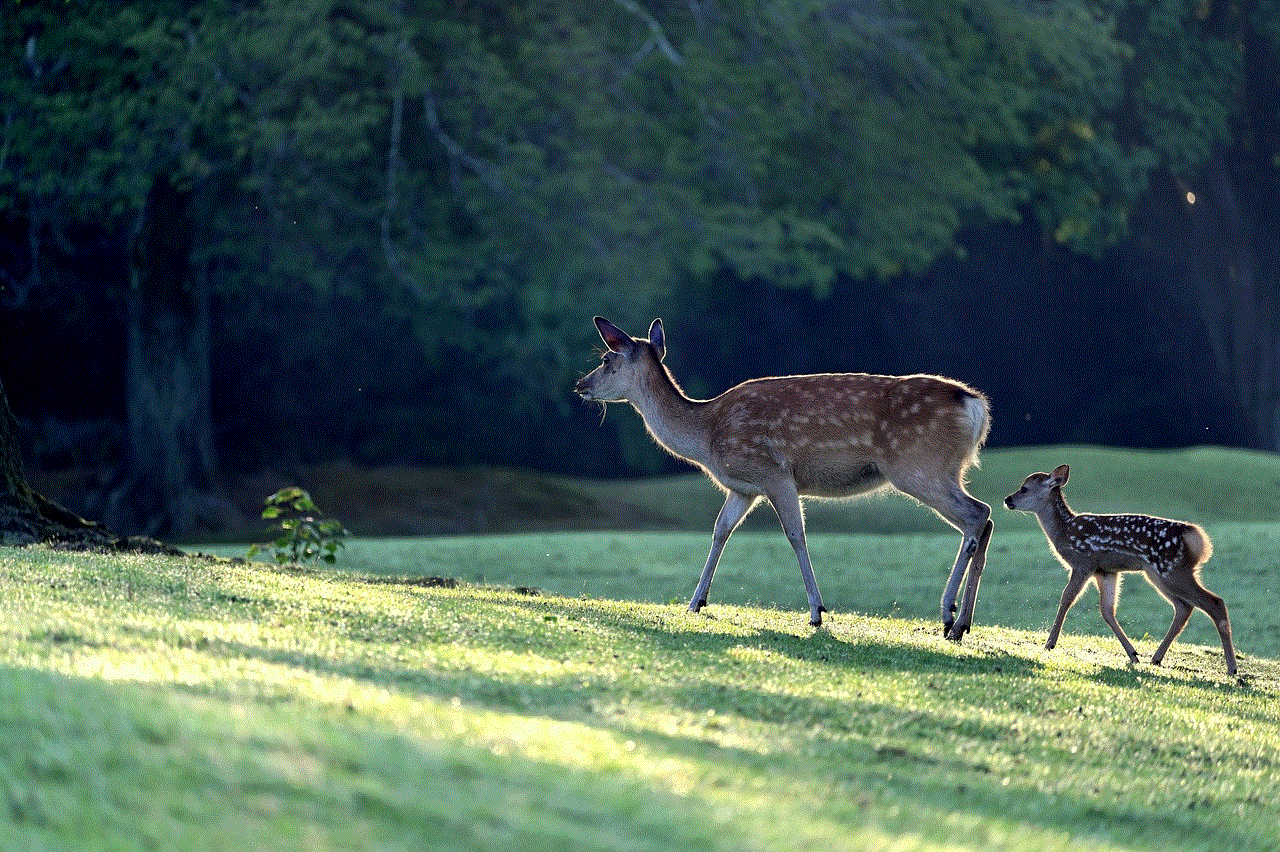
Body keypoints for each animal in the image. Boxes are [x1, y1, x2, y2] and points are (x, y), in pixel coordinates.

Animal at [576, 313, 993, 637]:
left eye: (607, 359)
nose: (580, 385)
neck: (707, 435)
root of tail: (975, 406)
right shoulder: (743, 488)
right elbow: (720, 530)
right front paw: (696, 601)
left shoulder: (774, 473)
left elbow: (795, 535)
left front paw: (817, 612)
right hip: (947, 469)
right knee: (985, 518)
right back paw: (962, 624)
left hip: (917, 466)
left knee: (977, 514)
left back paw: (948, 614)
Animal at [1003, 460, 1233, 675]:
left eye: (1024, 488)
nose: (1007, 500)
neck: (1064, 531)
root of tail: (1195, 537)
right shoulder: (1106, 571)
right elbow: (1107, 610)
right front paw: (1133, 654)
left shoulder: (1083, 562)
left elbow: (1066, 598)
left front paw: (1049, 644)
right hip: (1159, 574)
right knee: (1184, 607)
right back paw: (1156, 658)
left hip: (1173, 570)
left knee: (1214, 603)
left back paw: (1232, 669)